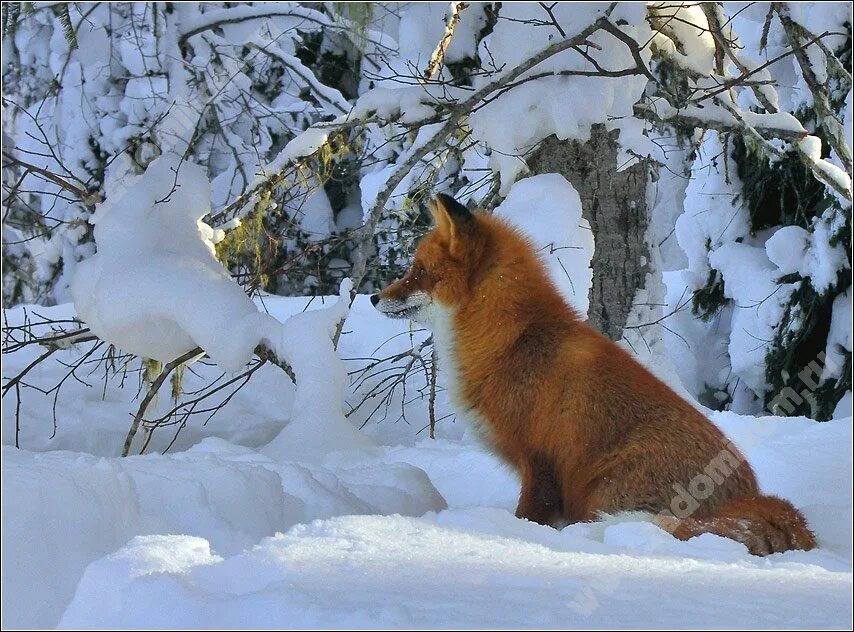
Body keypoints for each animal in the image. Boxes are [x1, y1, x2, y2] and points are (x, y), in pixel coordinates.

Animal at [372, 194, 816, 556]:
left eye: (419, 271)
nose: (375, 297)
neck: (511, 341)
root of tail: (752, 496)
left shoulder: (541, 462)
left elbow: (527, 517)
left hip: (605, 488)